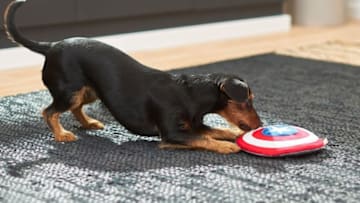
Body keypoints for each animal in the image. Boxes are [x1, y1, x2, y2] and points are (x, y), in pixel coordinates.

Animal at [4, 0, 260, 154]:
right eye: (246, 101)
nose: (260, 125)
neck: (191, 94)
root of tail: (51, 46)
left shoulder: (195, 125)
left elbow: (217, 130)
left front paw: (233, 135)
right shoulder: (172, 135)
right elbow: (203, 139)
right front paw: (227, 147)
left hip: (90, 91)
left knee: (75, 109)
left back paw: (88, 123)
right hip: (70, 91)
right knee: (49, 111)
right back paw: (62, 135)